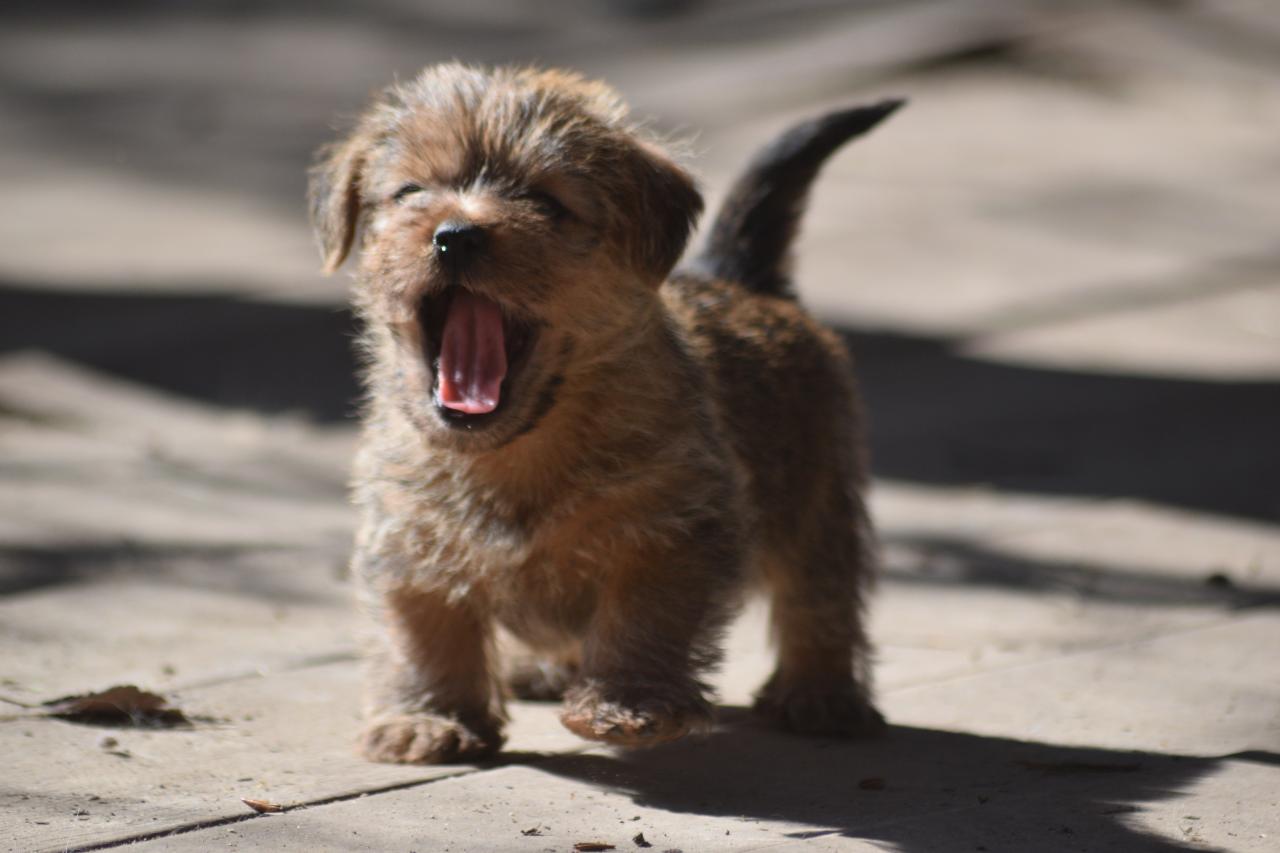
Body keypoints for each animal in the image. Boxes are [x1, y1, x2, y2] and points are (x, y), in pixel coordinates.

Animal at [311, 63, 906, 758]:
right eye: (410, 192)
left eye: (545, 202)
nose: (455, 235)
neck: (516, 453)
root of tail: (743, 281)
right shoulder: (410, 541)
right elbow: (425, 629)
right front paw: (428, 718)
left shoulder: (668, 532)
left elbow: (640, 617)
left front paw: (625, 706)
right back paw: (541, 668)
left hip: (819, 500)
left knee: (820, 601)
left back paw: (821, 696)